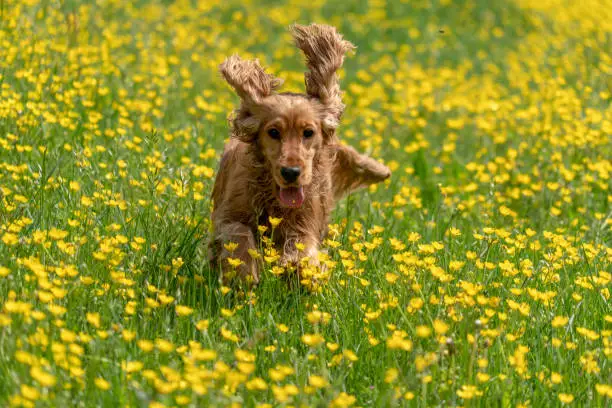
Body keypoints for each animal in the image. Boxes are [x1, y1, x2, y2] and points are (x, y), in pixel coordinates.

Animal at [210, 22, 392, 284]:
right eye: (273, 132)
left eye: (308, 132)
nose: (291, 172)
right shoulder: (229, 214)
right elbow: (238, 232)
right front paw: (243, 272)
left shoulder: (305, 222)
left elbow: (303, 247)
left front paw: (300, 269)